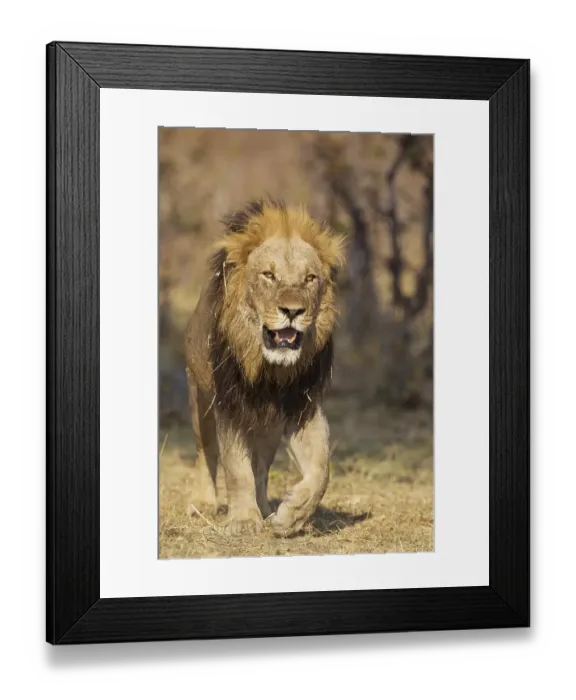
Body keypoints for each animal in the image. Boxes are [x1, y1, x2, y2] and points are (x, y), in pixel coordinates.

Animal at [184, 199, 345, 537]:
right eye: (269, 275)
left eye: (310, 278)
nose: (293, 311)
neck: (271, 371)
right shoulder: (229, 406)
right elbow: (235, 467)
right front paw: (244, 520)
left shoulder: (302, 405)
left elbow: (321, 469)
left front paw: (291, 516)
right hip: (200, 397)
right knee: (207, 451)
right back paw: (204, 503)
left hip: (268, 426)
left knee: (261, 467)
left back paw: (266, 508)